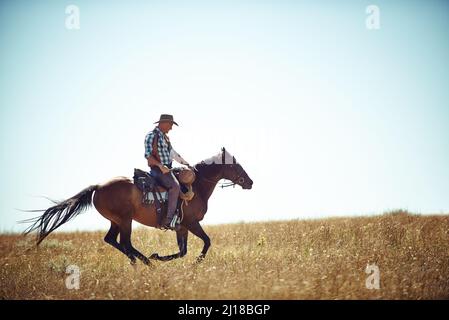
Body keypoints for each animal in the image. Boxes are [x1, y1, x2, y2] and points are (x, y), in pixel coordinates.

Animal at [22, 148, 252, 264]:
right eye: (236, 164)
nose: (250, 182)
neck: (196, 185)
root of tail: (99, 186)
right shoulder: (192, 223)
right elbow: (206, 242)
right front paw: (193, 262)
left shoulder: (182, 227)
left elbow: (183, 251)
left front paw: (161, 257)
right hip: (125, 220)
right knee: (125, 243)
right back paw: (146, 262)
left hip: (116, 221)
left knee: (112, 240)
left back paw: (139, 261)